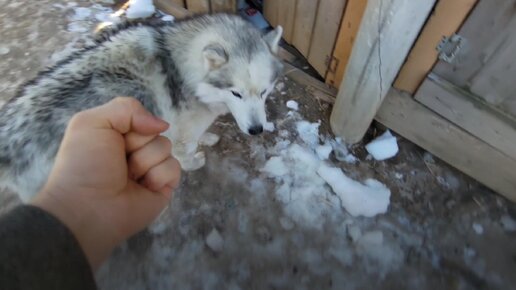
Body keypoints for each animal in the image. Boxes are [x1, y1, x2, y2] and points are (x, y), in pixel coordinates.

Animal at [0, 14, 282, 202]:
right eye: (236, 93)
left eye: (264, 92)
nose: (257, 130)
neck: (182, 70)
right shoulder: (181, 134)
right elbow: (186, 154)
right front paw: (193, 163)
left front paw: (209, 138)